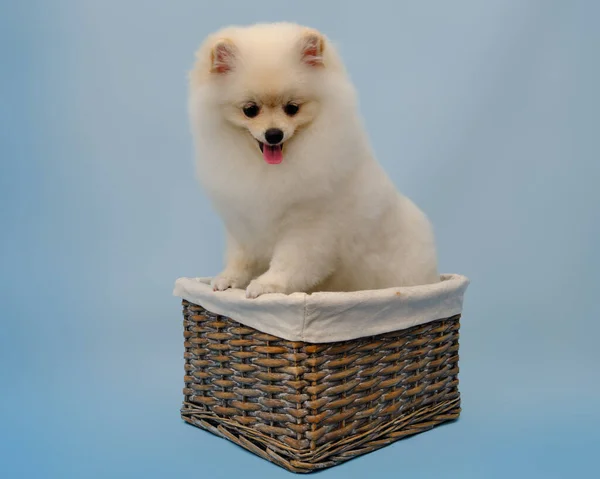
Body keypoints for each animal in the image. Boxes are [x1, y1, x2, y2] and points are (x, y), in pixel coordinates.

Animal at [186, 23, 436, 300]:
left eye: (292, 108)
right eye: (250, 110)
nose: (274, 134)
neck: (267, 168)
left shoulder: (307, 226)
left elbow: (290, 262)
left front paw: (267, 285)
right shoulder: (245, 221)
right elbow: (241, 257)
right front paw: (229, 279)